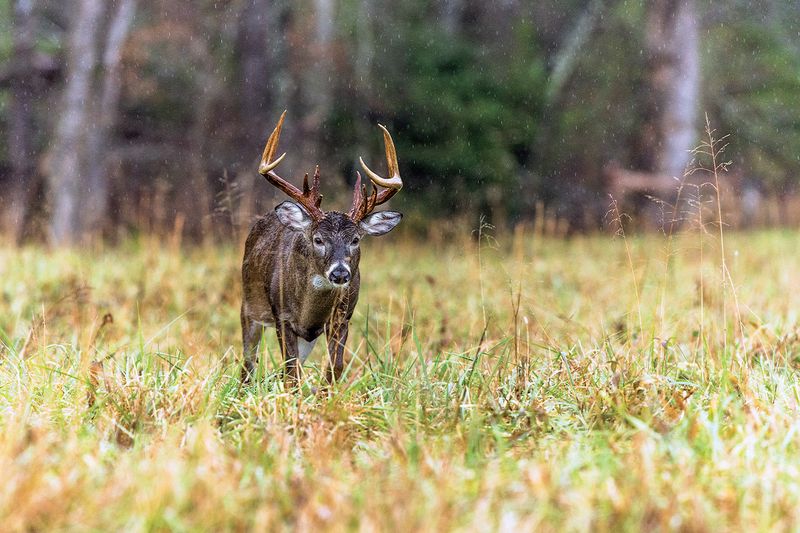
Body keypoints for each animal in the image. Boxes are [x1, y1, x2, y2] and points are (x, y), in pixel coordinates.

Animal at [236, 112, 400, 386]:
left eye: (356, 239)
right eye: (318, 239)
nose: (340, 273)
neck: (309, 312)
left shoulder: (342, 318)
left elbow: (335, 367)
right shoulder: (282, 316)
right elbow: (290, 371)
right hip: (249, 307)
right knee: (247, 364)